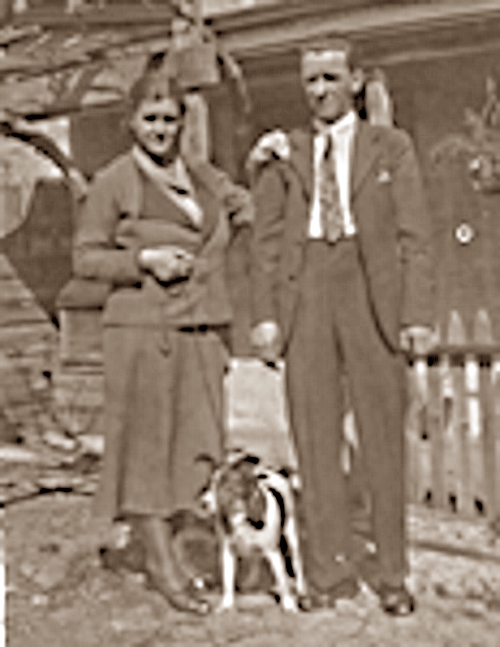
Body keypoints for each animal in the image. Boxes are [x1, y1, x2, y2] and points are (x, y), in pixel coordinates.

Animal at [198, 450, 307, 613]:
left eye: (226, 485)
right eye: (209, 485)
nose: (203, 503)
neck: (241, 517)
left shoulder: (273, 552)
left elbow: (282, 580)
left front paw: (289, 605)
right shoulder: (228, 552)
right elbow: (228, 580)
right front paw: (226, 605)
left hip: (290, 531)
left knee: (296, 561)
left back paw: (301, 589)